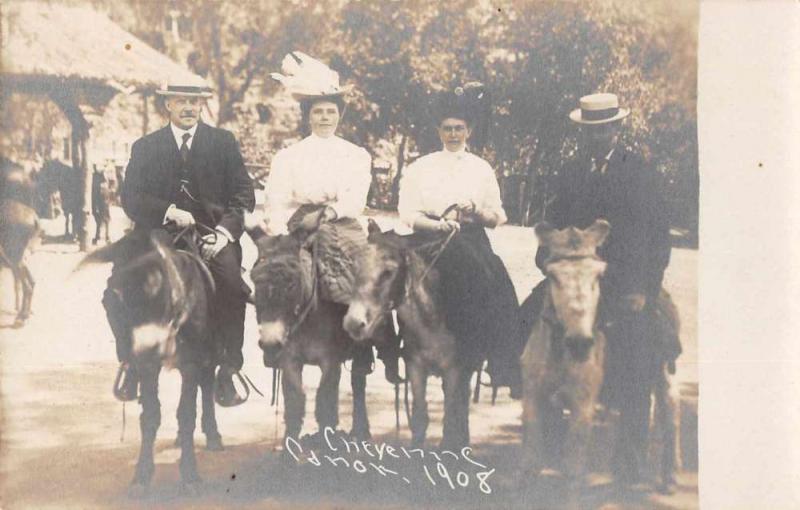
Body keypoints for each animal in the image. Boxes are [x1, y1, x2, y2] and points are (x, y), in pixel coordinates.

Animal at [80, 230, 222, 494]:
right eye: (109, 303)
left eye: (153, 290)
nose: (131, 351)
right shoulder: (148, 366)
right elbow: (150, 416)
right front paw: (142, 475)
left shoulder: (191, 364)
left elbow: (187, 412)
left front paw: (190, 473)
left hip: (208, 353)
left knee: (207, 385)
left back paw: (213, 434)